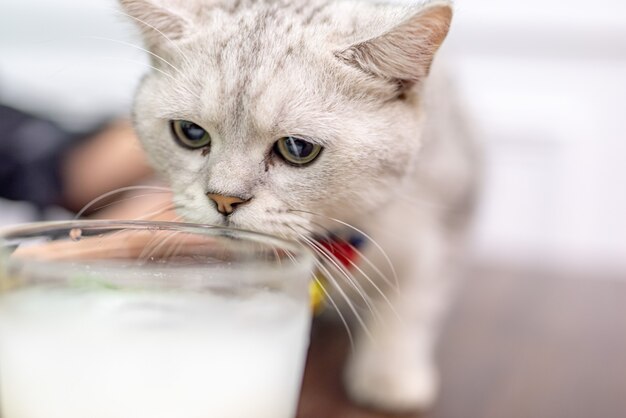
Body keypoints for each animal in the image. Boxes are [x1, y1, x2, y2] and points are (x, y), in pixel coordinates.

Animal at [118, 0, 478, 412]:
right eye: (190, 133)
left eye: (297, 148)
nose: (224, 199)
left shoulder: (445, 226)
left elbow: (410, 308)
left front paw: (390, 376)